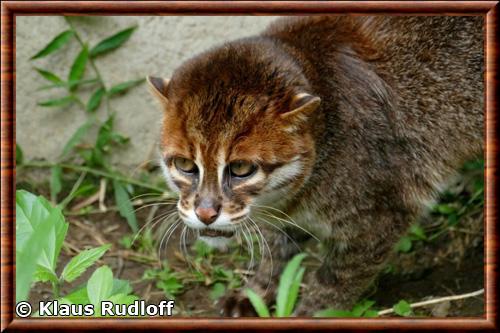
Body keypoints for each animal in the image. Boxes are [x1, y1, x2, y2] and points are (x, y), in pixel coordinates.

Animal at [146, 15, 482, 316]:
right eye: (185, 164)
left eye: (241, 169)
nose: (205, 214)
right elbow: (277, 249)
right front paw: (257, 292)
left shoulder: (382, 216)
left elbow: (335, 279)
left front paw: (309, 311)